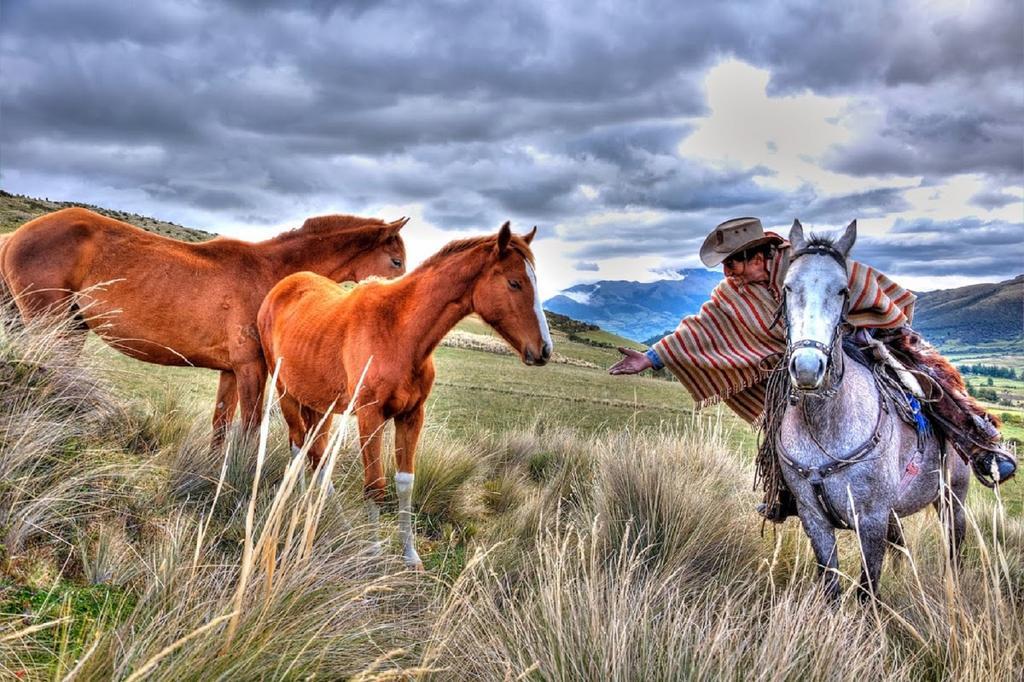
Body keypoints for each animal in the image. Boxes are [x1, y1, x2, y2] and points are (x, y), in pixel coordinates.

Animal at [0, 206, 407, 440]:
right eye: (397, 261)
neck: (273, 276)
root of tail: (16, 235)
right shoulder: (251, 368)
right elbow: (250, 428)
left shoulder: (230, 370)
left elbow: (221, 427)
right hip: (50, 325)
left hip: (67, 328)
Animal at [260, 220, 557, 565]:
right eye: (514, 282)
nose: (544, 350)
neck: (399, 331)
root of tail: (282, 288)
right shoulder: (370, 416)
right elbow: (375, 485)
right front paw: (374, 551)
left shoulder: (412, 415)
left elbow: (405, 483)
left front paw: (410, 555)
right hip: (286, 394)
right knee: (300, 447)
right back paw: (306, 508)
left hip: (320, 405)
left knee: (315, 454)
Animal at [774, 219, 966, 602]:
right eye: (788, 287)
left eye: (842, 291)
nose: (807, 369)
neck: (825, 427)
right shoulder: (814, 519)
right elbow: (830, 584)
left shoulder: (871, 520)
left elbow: (867, 590)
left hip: (954, 499)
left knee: (954, 548)